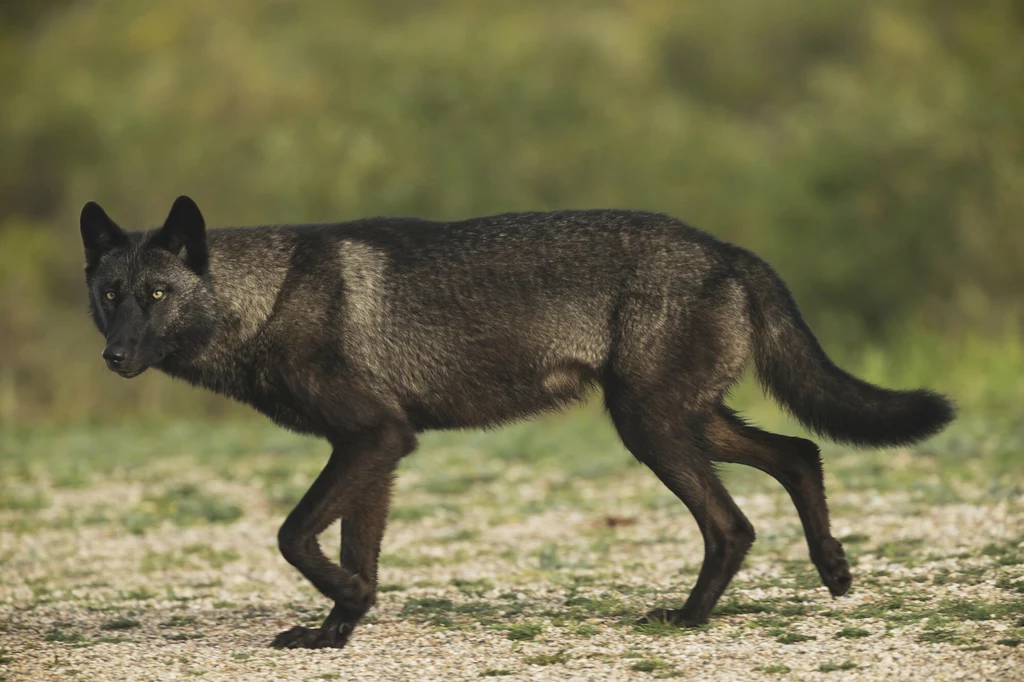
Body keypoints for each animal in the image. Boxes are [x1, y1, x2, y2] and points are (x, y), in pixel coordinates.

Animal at [77, 196, 950, 647]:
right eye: (111, 294)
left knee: (733, 523)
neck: (269, 298)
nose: (113, 357)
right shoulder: (378, 452)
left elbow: (295, 537)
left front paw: (344, 606)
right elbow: (353, 552)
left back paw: (687, 619)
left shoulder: (372, 440)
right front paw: (337, 630)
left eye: (157, 294)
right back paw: (833, 572)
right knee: (800, 453)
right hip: (684, 423)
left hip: (653, 428)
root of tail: (727, 249)